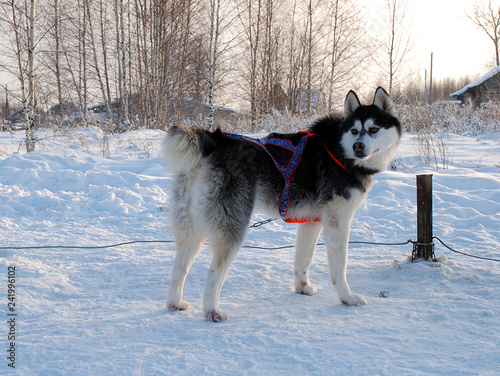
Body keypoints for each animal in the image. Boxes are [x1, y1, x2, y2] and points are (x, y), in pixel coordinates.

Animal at [164, 86, 402, 322]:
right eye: (354, 130)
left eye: (373, 129)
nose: (358, 146)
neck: (338, 150)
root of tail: (214, 141)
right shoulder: (338, 221)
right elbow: (339, 267)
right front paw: (347, 297)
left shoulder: (311, 222)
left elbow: (303, 261)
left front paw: (303, 287)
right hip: (233, 227)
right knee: (213, 273)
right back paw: (212, 311)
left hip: (192, 229)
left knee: (179, 267)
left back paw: (175, 303)